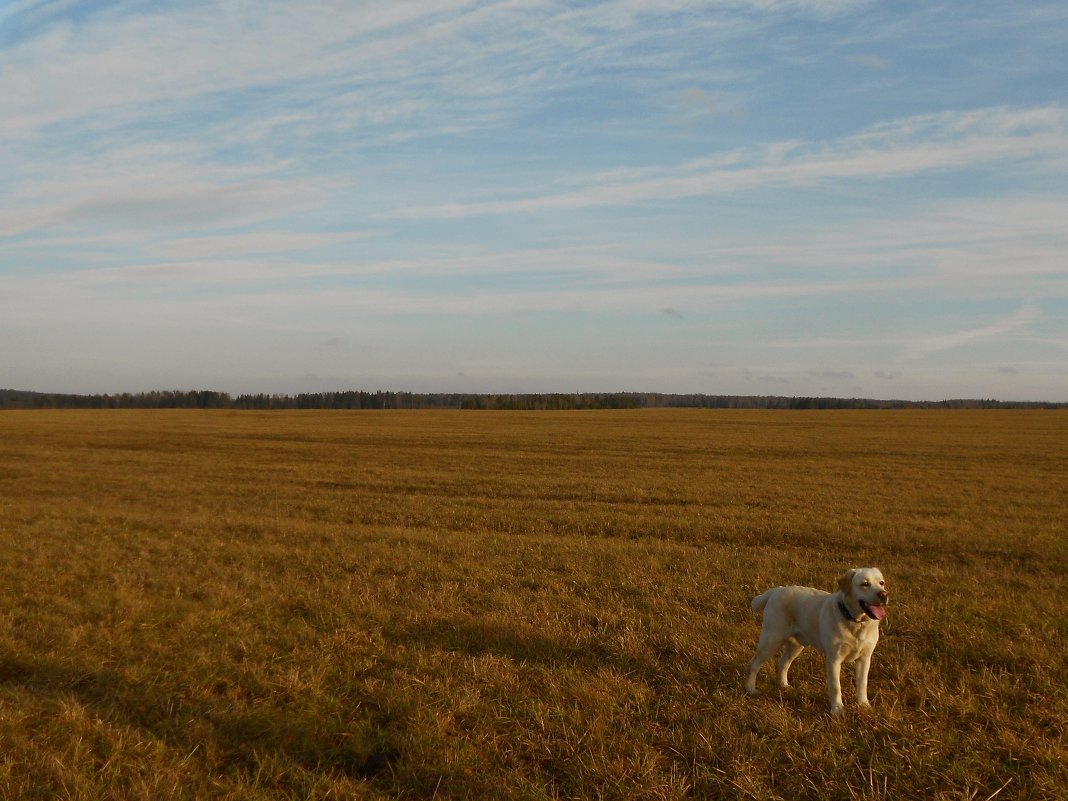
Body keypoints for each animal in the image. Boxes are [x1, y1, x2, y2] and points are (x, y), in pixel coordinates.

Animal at [747, 568, 888, 717]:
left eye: (881, 583)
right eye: (865, 584)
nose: (884, 594)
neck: (856, 622)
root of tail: (776, 590)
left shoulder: (865, 658)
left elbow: (862, 683)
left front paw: (864, 705)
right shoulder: (834, 659)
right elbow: (835, 686)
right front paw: (837, 710)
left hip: (796, 646)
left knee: (782, 663)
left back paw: (784, 686)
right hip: (771, 640)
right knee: (754, 664)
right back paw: (750, 689)